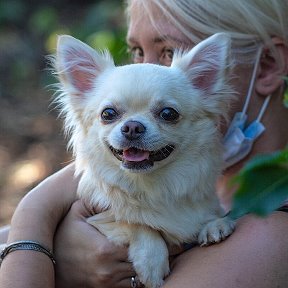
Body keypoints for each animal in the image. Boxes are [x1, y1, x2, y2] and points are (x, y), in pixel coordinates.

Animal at [54, 32, 236, 286]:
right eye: (108, 114)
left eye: (168, 114)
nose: (132, 126)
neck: (151, 186)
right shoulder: (98, 219)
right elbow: (135, 222)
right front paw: (151, 261)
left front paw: (215, 223)